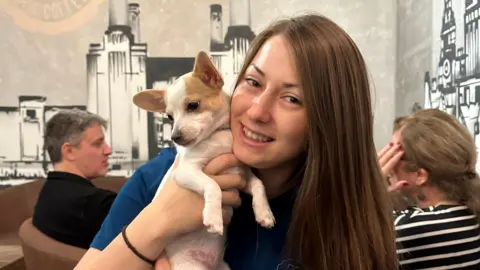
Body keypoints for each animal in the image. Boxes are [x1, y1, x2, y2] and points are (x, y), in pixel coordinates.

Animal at [132, 51, 274, 270]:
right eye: (169, 117)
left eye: (193, 106)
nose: (174, 137)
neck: (217, 135)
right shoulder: (186, 172)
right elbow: (212, 185)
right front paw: (214, 217)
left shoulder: (242, 175)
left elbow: (259, 184)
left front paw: (264, 213)